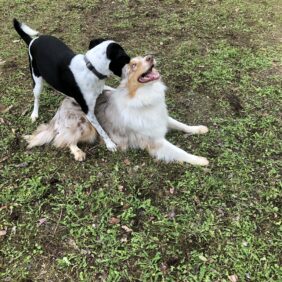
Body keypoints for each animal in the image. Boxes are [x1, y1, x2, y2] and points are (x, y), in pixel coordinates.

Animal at [11, 18, 129, 151]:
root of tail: (33, 41)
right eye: (125, 61)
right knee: (36, 98)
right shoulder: (88, 112)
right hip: (37, 81)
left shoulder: (101, 88)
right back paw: (34, 114)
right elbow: (101, 129)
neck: (90, 68)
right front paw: (110, 144)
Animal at [24, 55, 209, 165]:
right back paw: (78, 152)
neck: (143, 95)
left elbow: (182, 124)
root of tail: (61, 106)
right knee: (63, 139)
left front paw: (199, 129)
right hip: (86, 127)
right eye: (133, 65)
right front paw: (200, 160)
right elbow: (179, 151)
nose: (151, 57)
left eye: (144, 57)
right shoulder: (155, 141)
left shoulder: (161, 118)